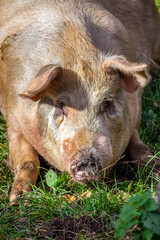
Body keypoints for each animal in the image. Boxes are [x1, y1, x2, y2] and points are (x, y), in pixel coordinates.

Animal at [0, 0, 160, 202]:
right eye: (61, 106)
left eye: (107, 103)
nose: (86, 159)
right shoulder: (12, 111)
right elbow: (26, 158)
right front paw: (17, 198)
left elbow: (140, 147)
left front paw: (158, 170)